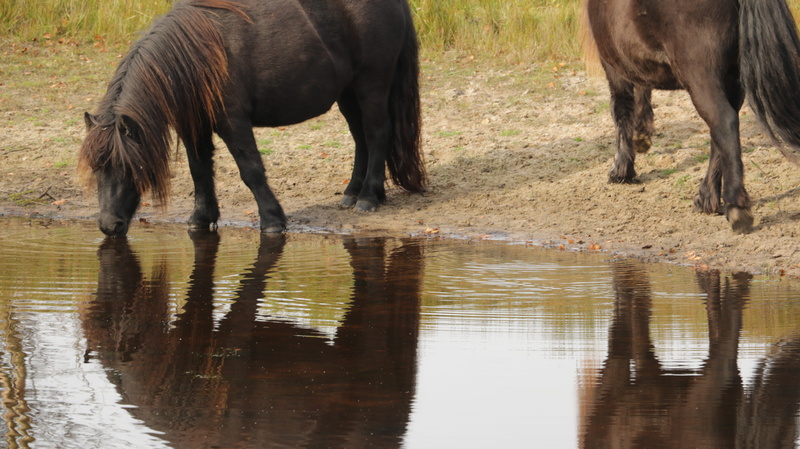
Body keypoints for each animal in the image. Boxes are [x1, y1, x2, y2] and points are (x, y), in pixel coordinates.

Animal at [79, 0, 425, 237]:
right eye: (96, 168)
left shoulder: (234, 123)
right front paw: (201, 218)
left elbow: (251, 171)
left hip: (372, 84)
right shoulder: (195, 127)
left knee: (377, 134)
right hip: (348, 91)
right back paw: (352, 193)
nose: (109, 226)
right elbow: (199, 170)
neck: (198, 55)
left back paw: (368, 197)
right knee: (360, 137)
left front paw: (272, 220)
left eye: (127, 166)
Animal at [586, 0, 800, 233]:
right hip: (731, 79)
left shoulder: (613, 64)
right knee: (721, 131)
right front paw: (641, 137)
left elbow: (622, 109)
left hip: (701, 75)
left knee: (724, 122)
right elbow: (642, 90)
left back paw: (736, 207)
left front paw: (621, 169)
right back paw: (707, 199)